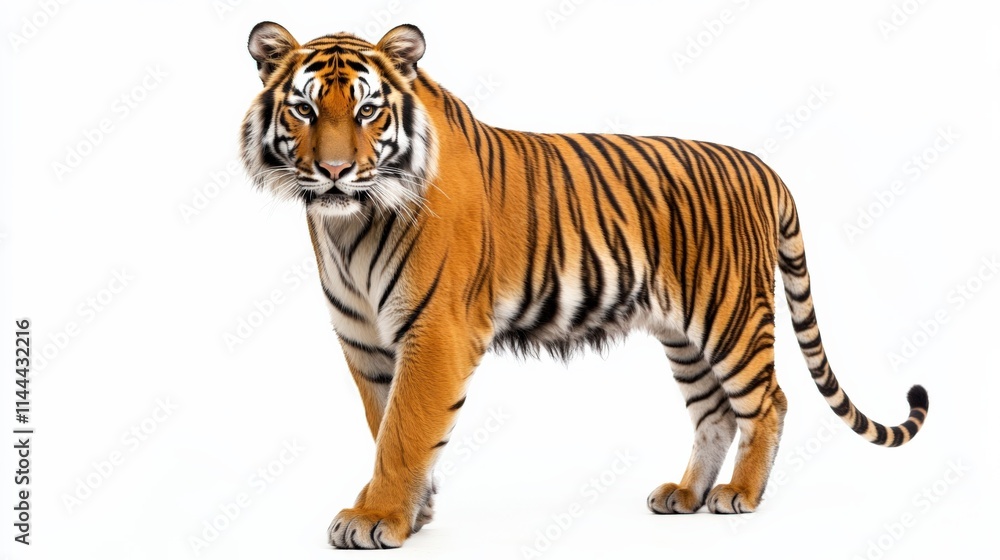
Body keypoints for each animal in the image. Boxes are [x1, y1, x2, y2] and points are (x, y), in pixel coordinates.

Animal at [239, 22, 929, 549]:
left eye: (367, 109)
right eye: (303, 109)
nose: (334, 171)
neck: (347, 223)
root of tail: (763, 168)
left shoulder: (435, 331)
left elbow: (405, 430)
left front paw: (377, 517)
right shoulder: (364, 341)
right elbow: (384, 423)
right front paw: (412, 511)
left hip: (730, 316)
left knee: (768, 402)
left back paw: (740, 494)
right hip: (682, 334)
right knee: (713, 413)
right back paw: (686, 494)